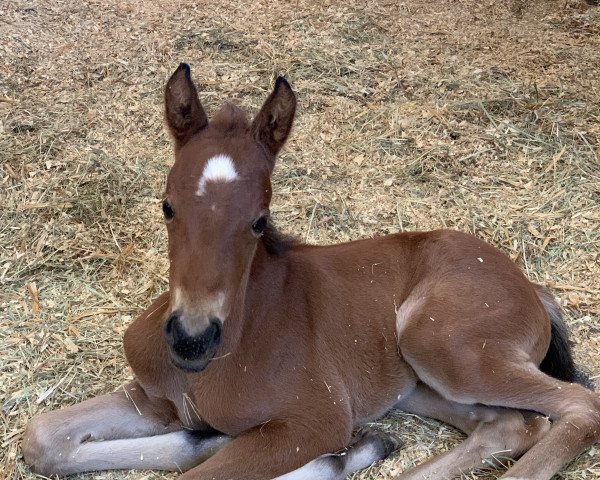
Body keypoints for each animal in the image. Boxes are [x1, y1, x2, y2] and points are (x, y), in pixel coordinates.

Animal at [23, 64, 600, 480]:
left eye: (259, 220)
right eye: (167, 206)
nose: (191, 339)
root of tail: (531, 285)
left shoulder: (314, 421)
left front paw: (332, 456)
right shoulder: (154, 399)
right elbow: (41, 437)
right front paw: (205, 439)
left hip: (447, 347)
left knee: (577, 405)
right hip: (415, 382)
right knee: (510, 425)